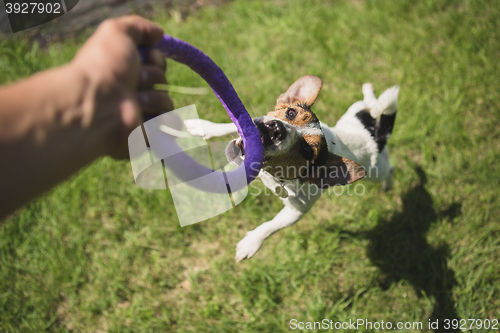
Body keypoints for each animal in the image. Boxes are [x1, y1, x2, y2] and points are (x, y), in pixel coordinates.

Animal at [184, 74, 398, 260]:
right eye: (290, 112)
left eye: (307, 151)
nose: (276, 129)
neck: (271, 175)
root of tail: (375, 134)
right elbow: (232, 125)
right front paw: (205, 127)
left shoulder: (297, 211)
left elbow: (272, 225)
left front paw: (251, 243)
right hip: (354, 112)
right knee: (370, 105)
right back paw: (369, 93)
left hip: (376, 171)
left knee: (388, 170)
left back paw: (388, 184)